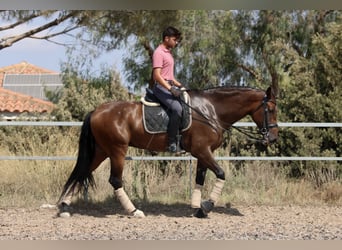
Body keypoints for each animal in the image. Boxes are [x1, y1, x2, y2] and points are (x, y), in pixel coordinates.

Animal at [57, 85, 280, 218]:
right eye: (270, 109)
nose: (273, 137)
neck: (211, 111)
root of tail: (96, 111)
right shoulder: (202, 151)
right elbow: (221, 174)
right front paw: (206, 207)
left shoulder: (202, 153)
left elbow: (199, 180)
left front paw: (197, 209)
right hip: (117, 150)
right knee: (115, 180)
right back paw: (134, 211)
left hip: (102, 151)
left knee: (82, 172)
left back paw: (65, 207)